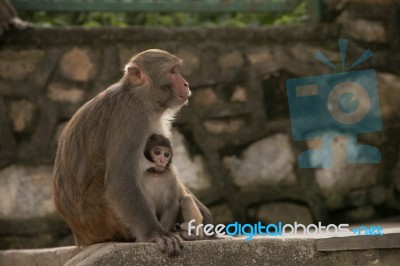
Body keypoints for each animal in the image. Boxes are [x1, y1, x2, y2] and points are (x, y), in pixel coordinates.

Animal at [54, 49, 214, 256]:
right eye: (172, 72)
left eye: (177, 70)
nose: (186, 83)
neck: (141, 98)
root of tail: (81, 237)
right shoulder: (131, 117)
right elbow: (121, 180)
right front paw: (157, 234)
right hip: (99, 220)